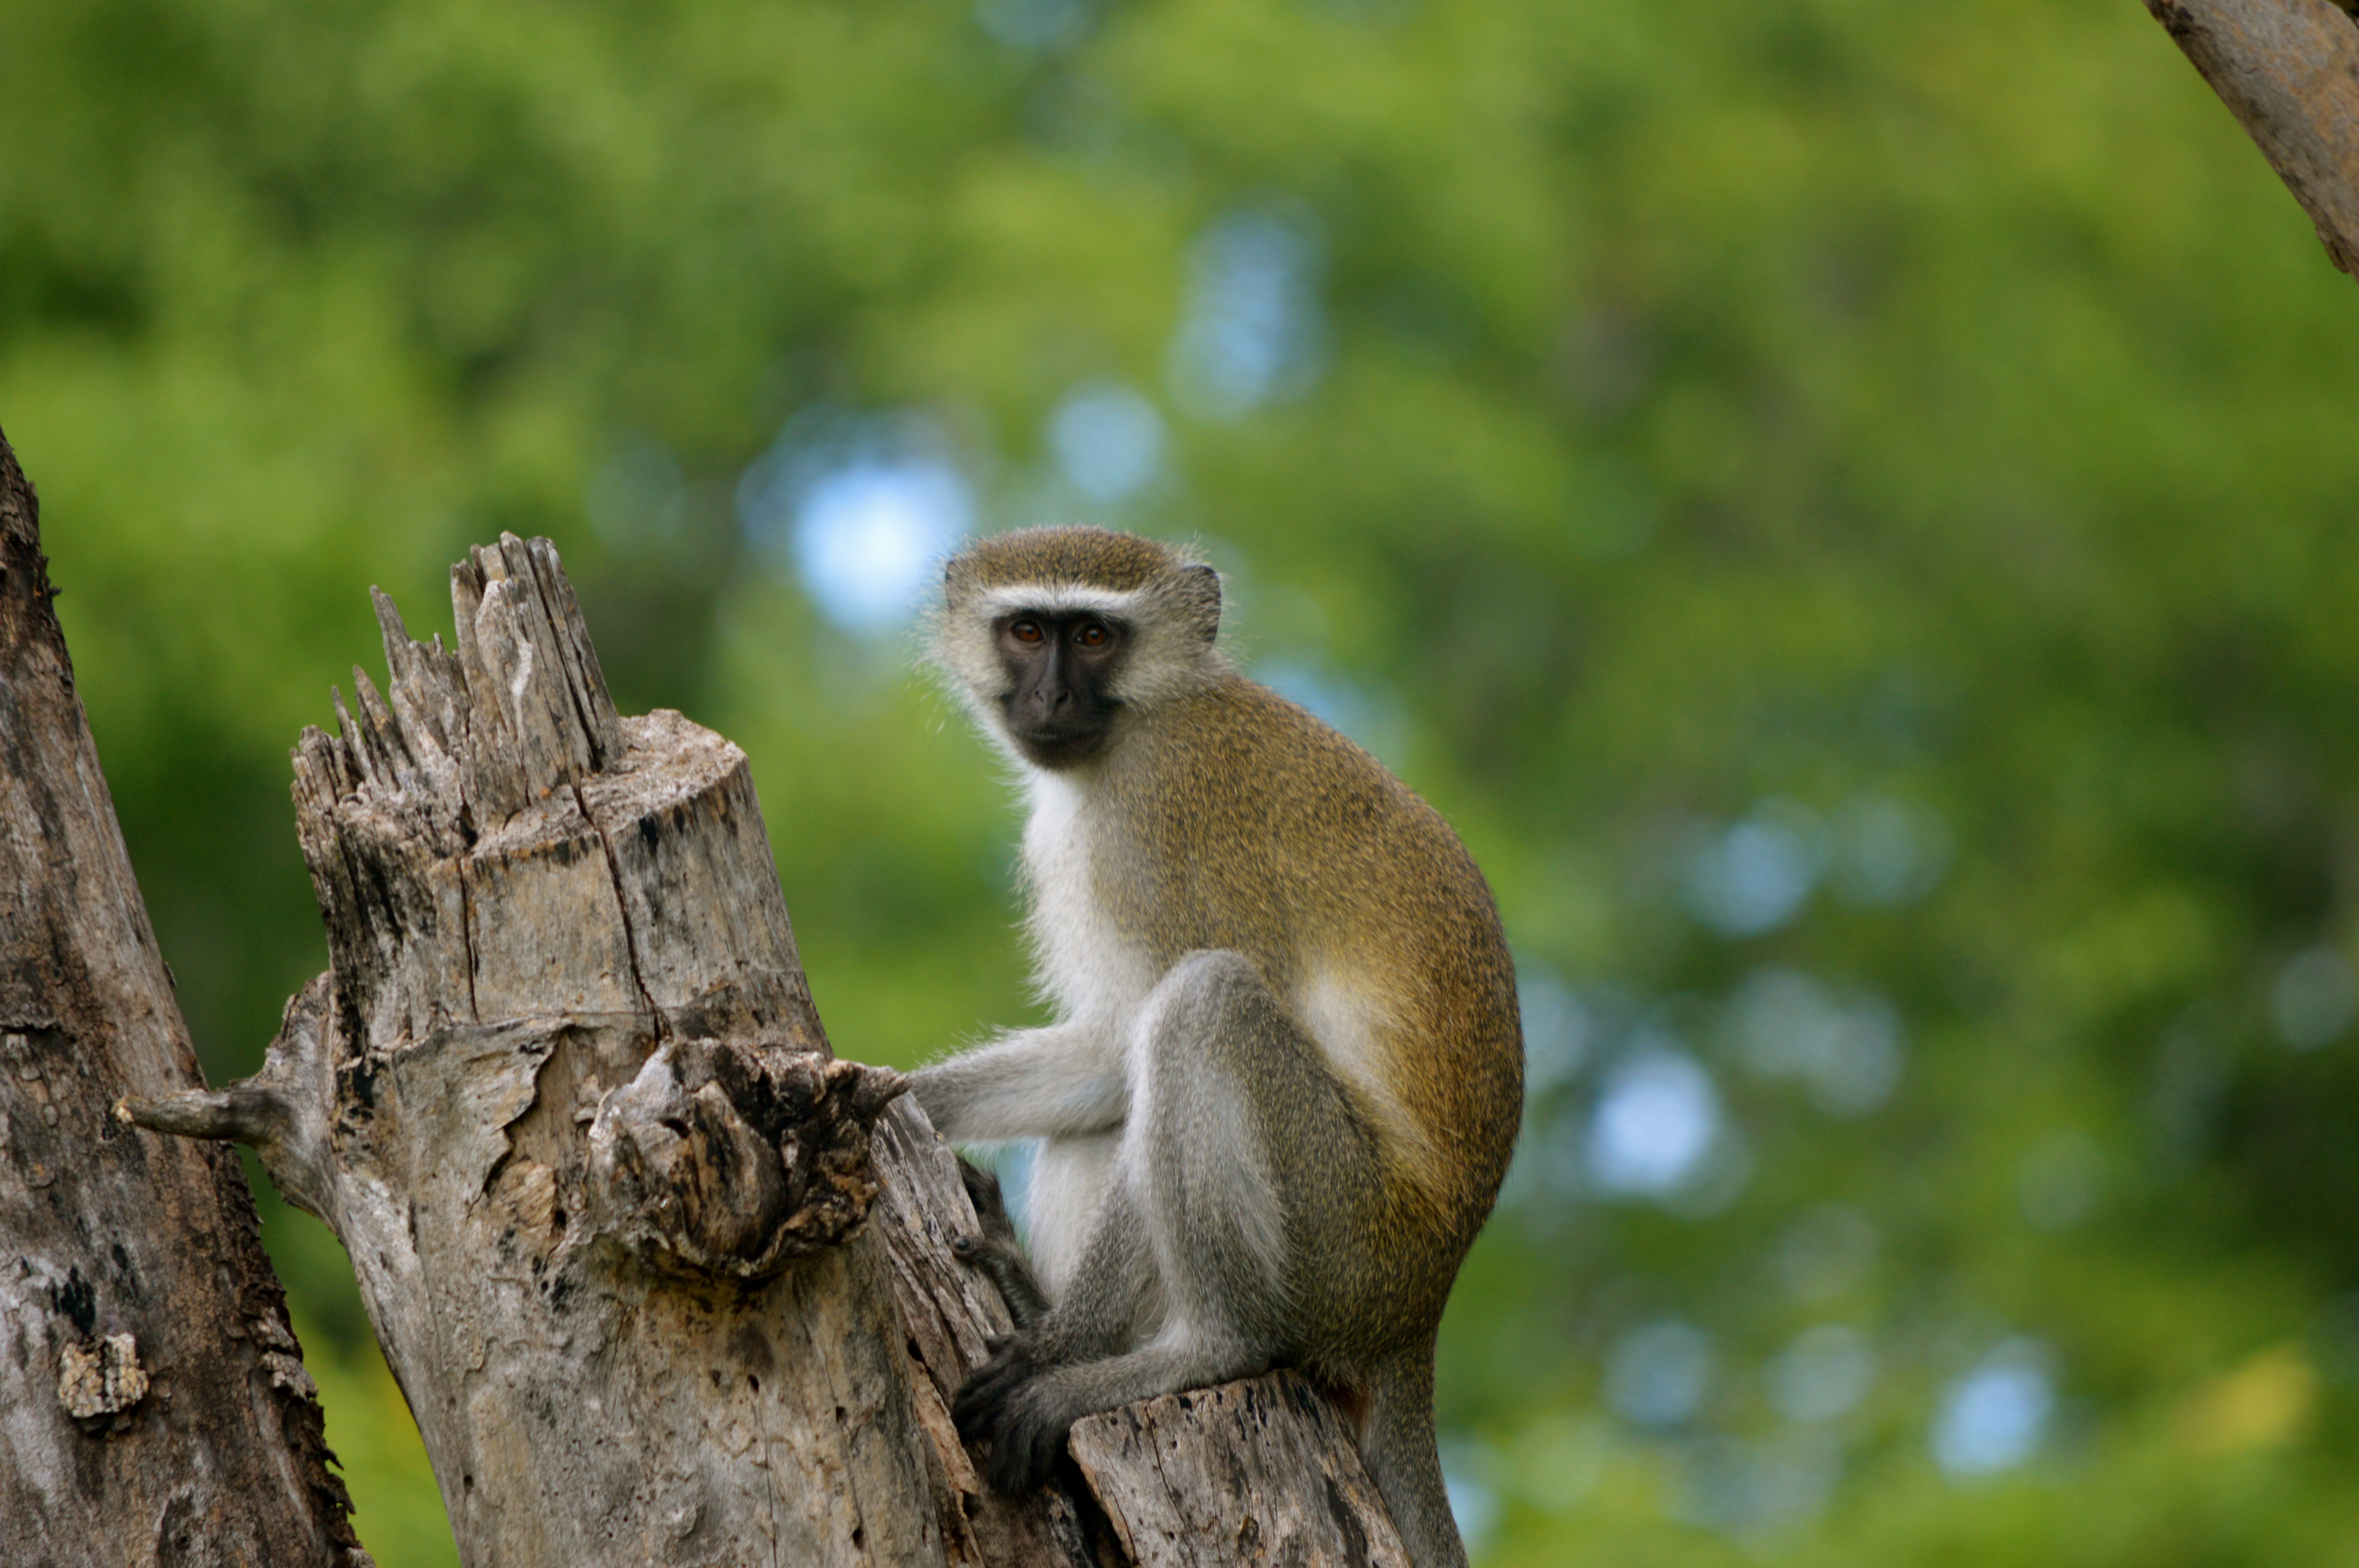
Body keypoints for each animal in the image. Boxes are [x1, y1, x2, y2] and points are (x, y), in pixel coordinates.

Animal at [908, 527, 1522, 1568]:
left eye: (1094, 636)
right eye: (1027, 631)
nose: (1050, 698)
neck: (1147, 718)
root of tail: (1420, 1306)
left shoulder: (1158, 824)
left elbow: (1163, 1013)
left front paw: (1056, 1347)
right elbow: (1108, 1054)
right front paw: (882, 1095)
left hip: (1343, 1230)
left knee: (1206, 1005)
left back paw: (1189, 1349)